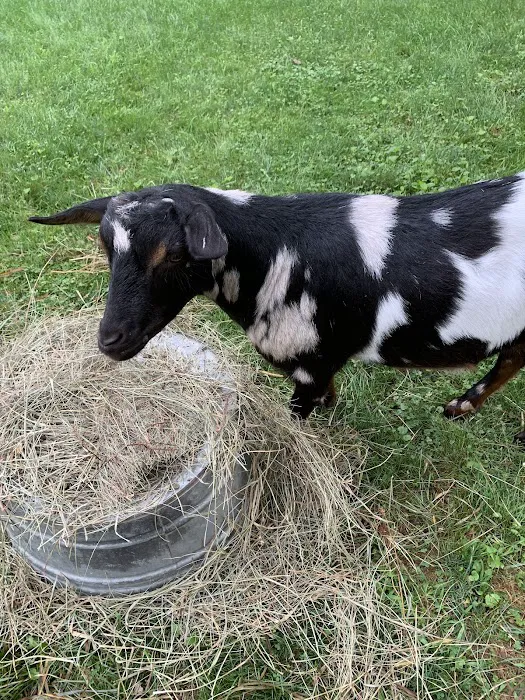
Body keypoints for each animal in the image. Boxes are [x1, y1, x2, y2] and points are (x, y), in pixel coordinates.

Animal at [29, 174, 525, 440]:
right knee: (512, 358)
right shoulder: (320, 365)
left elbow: (298, 420)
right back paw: (460, 407)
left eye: (173, 254)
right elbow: (329, 397)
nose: (109, 340)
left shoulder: (306, 362)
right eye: (106, 247)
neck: (275, 256)